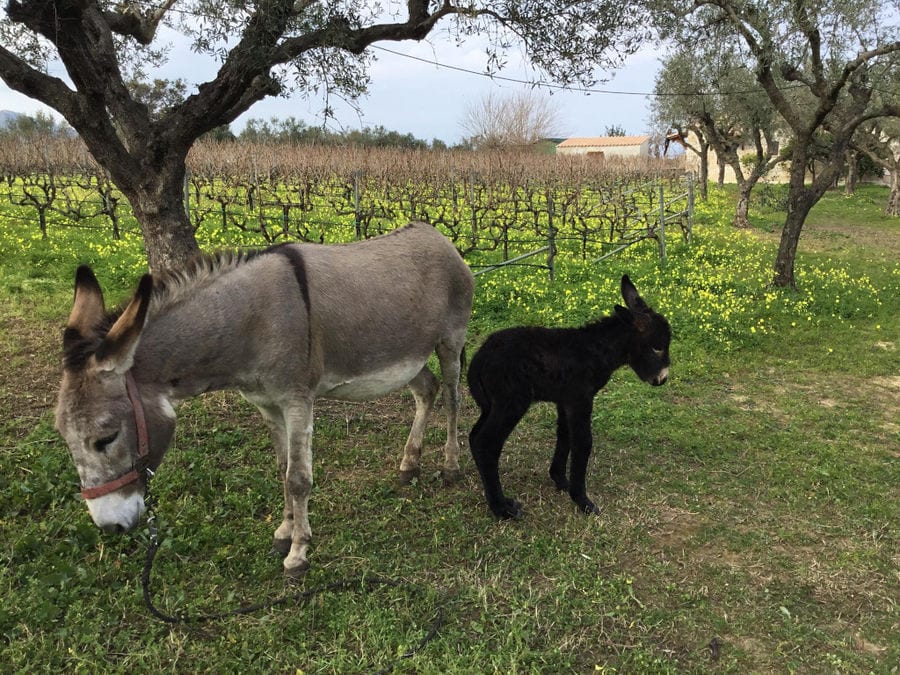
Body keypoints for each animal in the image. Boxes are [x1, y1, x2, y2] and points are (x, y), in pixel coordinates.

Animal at [468, 278, 672, 520]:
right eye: (656, 348)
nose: (662, 379)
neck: (596, 351)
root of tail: (479, 358)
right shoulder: (580, 399)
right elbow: (583, 443)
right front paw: (583, 501)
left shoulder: (565, 401)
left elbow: (564, 436)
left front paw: (560, 480)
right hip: (511, 403)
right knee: (487, 443)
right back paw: (502, 508)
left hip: (491, 405)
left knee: (474, 437)